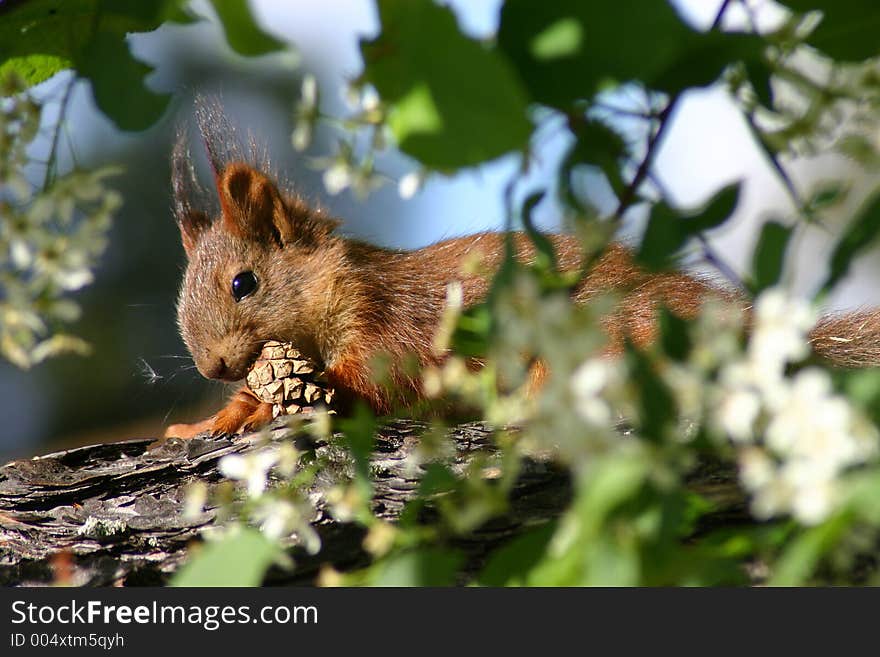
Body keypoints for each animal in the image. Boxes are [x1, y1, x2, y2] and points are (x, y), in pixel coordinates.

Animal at [162, 109, 880, 436]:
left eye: (244, 283)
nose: (212, 366)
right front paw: (211, 420)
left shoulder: (395, 316)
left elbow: (376, 375)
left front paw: (287, 401)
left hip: (617, 332)